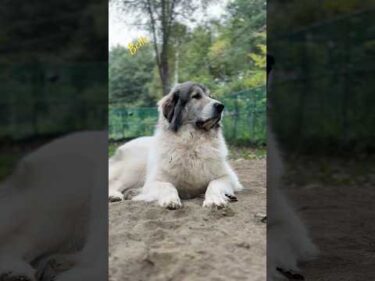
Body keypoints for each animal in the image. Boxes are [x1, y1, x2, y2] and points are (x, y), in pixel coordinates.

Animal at [108, 81, 244, 208]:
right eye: (196, 96)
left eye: (210, 96)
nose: (221, 106)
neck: (193, 142)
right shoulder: (153, 182)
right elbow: (168, 185)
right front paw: (171, 200)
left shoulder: (228, 176)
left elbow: (213, 184)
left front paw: (214, 200)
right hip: (134, 168)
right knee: (115, 183)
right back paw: (114, 195)